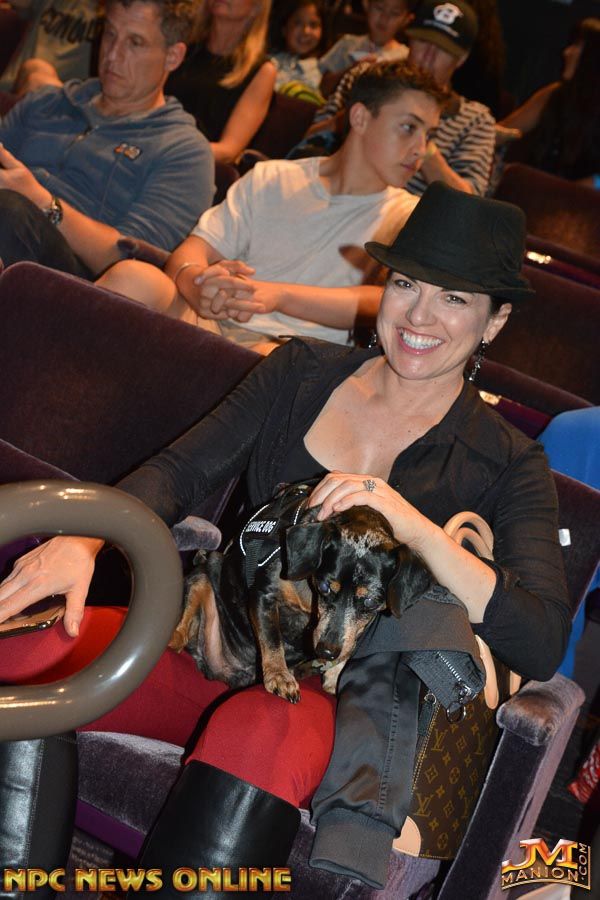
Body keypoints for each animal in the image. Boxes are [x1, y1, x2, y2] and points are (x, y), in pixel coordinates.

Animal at [170, 482, 432, 702]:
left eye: (370, 601)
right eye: (324, 587)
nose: (326, 651)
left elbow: (353, 642)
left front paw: (335, 674)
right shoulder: (263, 595)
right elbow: (272, 638)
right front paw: (279, 677)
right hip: (204, 572)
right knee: (182, 627)